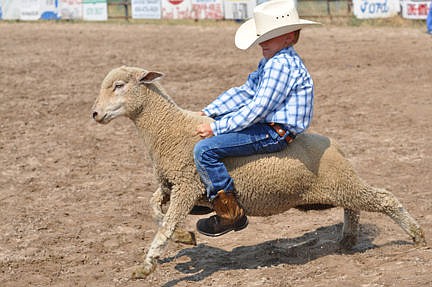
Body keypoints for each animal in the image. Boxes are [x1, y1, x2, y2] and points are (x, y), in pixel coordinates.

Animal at [91, 67, 426, 280]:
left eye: (119, 85)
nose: (94, 114)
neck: (169, 129)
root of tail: (335, 145)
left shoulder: (187, 185)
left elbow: (165, 226)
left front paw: (146, 266)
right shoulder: (171, 186)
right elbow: (153, 209)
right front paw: (186, 237)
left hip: (344, 185)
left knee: (384, 199)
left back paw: (417, 236)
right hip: (336, 190)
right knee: (354, 209)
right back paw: (347, 241)